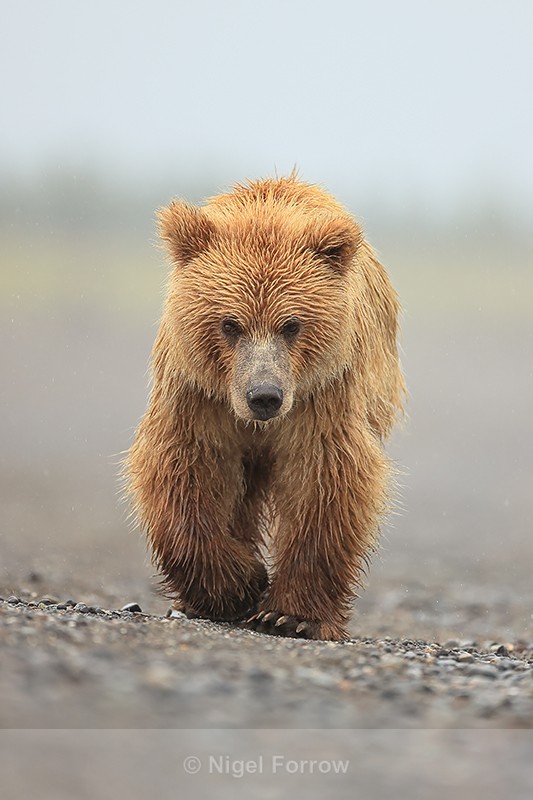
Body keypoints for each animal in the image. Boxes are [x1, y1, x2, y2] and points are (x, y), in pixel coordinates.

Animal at [125, 174, 405, 641]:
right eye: (229, 323)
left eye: (291, 324)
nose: (264, 396)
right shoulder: (200, 395)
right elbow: (184, 469)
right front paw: (238, 586)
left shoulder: (321, 395)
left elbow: (324, 479)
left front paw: (290, 615)